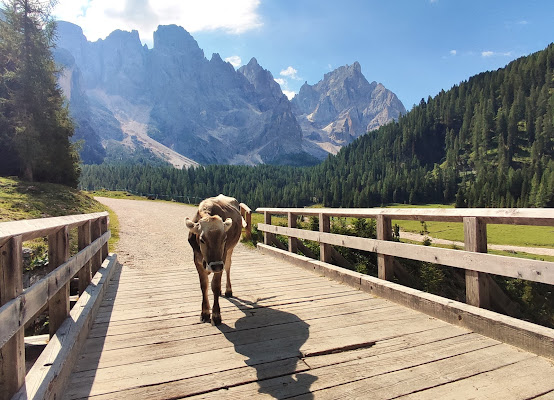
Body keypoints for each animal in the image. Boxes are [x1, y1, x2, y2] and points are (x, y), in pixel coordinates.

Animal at [184, 194, 243, 324]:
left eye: (224, 238)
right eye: (202, 239)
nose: (215, 266)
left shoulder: (222, 258)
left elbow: (215, 285)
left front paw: (216, 315)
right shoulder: (197, 260)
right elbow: (204, 285)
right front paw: (205, 313)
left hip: (229, 252)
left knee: (228, 267)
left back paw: (228, 290)